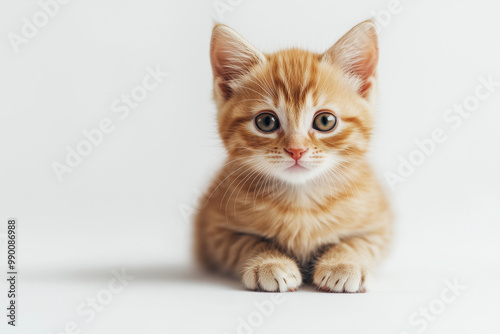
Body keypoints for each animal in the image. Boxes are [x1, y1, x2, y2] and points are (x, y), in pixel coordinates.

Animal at [193, 20, 392, 292]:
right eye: (266, 122)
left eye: (325, 121)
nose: (296, 150)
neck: (301, 202)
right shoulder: (214, 230)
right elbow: (248, 242)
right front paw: (269, 263)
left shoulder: (380, 224)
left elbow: (357, 242)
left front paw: (343, 263)